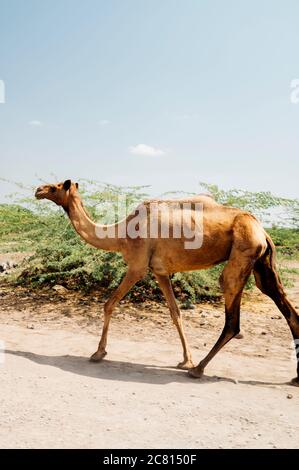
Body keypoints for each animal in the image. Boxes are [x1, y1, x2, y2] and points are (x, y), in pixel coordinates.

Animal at [35, 180, 299, 386]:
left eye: (56, 186)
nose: (38, 190)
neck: (121, 234)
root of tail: (263, 231)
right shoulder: (160, 271)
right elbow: (175, 312)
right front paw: (185, 360)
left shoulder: (138, 266)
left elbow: (109, 304)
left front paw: (99, 352)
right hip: (262, 263)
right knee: (284, 305)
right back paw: (294, 378)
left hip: (243, 251)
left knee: (232, 316)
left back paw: (199, 369)